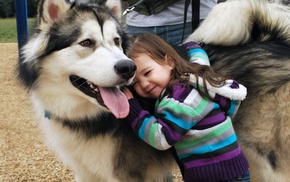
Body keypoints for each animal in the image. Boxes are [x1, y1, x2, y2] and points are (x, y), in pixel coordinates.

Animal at [18, 0, 174, 181]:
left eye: (116, 41)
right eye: (86, 42)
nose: (129, 68)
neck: (87, 117)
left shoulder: (124, 173)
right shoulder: (85, 171)